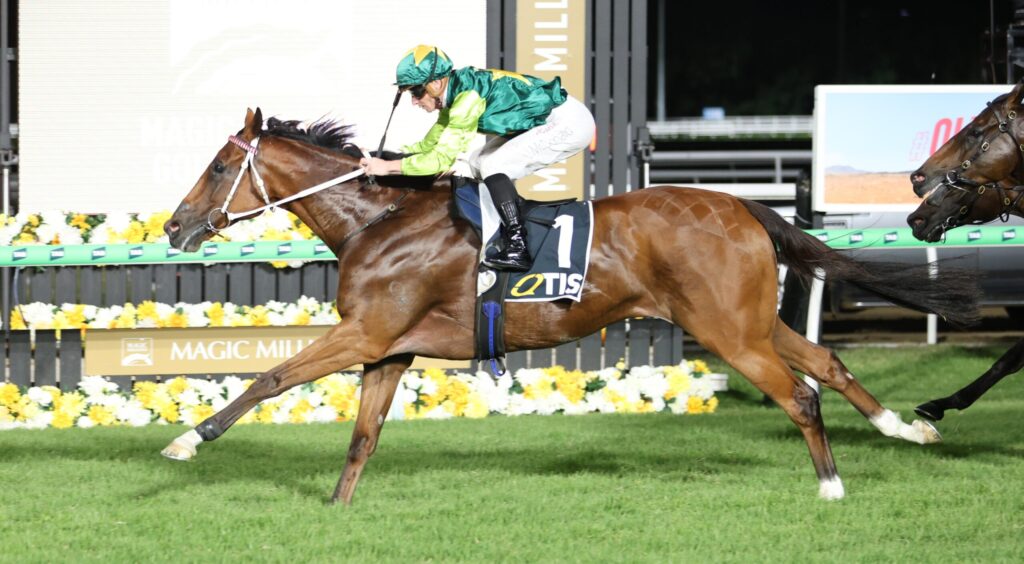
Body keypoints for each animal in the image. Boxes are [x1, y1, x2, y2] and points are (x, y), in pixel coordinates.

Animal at [161, 108, 980, 503]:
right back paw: (905, 429)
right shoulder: (389, 349)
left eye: (221, 166)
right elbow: (363, 438)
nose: (174, 227)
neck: (379, 221)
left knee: (801, 396)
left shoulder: (364, 334)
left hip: (726, 332)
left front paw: (187, 442)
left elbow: (271, 378)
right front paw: (337, 510)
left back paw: (833, 486)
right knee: (828, 364)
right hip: (751, 320)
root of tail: (745, 206)